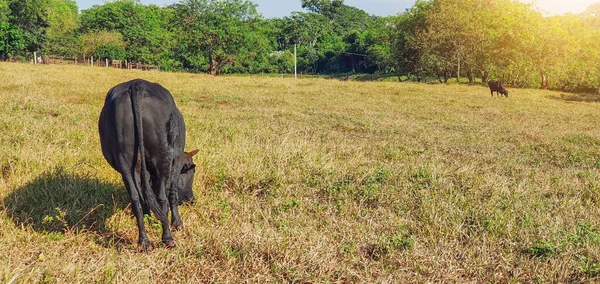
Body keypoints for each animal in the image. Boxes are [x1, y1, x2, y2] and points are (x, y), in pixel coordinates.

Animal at [98, 79, 199, 250]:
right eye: (192, 171)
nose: (191, 199)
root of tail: (136, 85)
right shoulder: (175, 164)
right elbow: (172, 194)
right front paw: (177, 223)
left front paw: (149, 218)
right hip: (161, 159)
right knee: (162, 198)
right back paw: (167, 238)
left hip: (125, 162)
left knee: (136, 198)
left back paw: (144, 241)